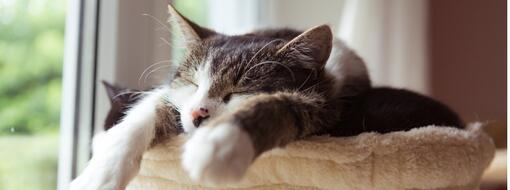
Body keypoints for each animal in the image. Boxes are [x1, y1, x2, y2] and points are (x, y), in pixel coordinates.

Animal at [70, 4, 462, 190]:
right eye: (194, 83)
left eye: (240, 92)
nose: (198, 115)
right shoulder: (173, 95)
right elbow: (152, 105)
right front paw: (99, 173)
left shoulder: (323, 103)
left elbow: (281, 107)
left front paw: (220, 145)